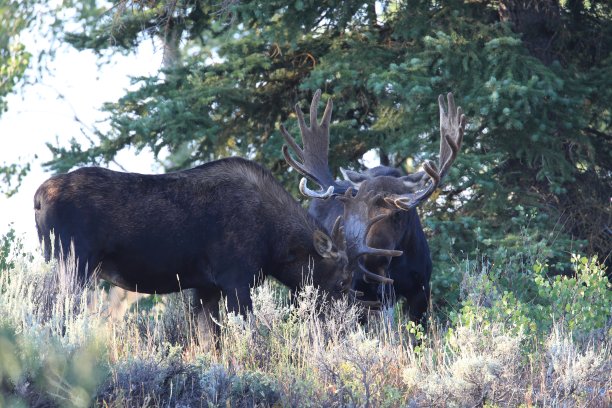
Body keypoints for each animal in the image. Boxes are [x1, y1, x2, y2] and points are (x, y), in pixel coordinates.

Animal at [34, 156, 350, 322]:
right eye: (344, 281)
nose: (345, 322)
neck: (276, 246)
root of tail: (36, 197)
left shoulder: (207, 288)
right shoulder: (235, 280)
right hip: (73, 263)